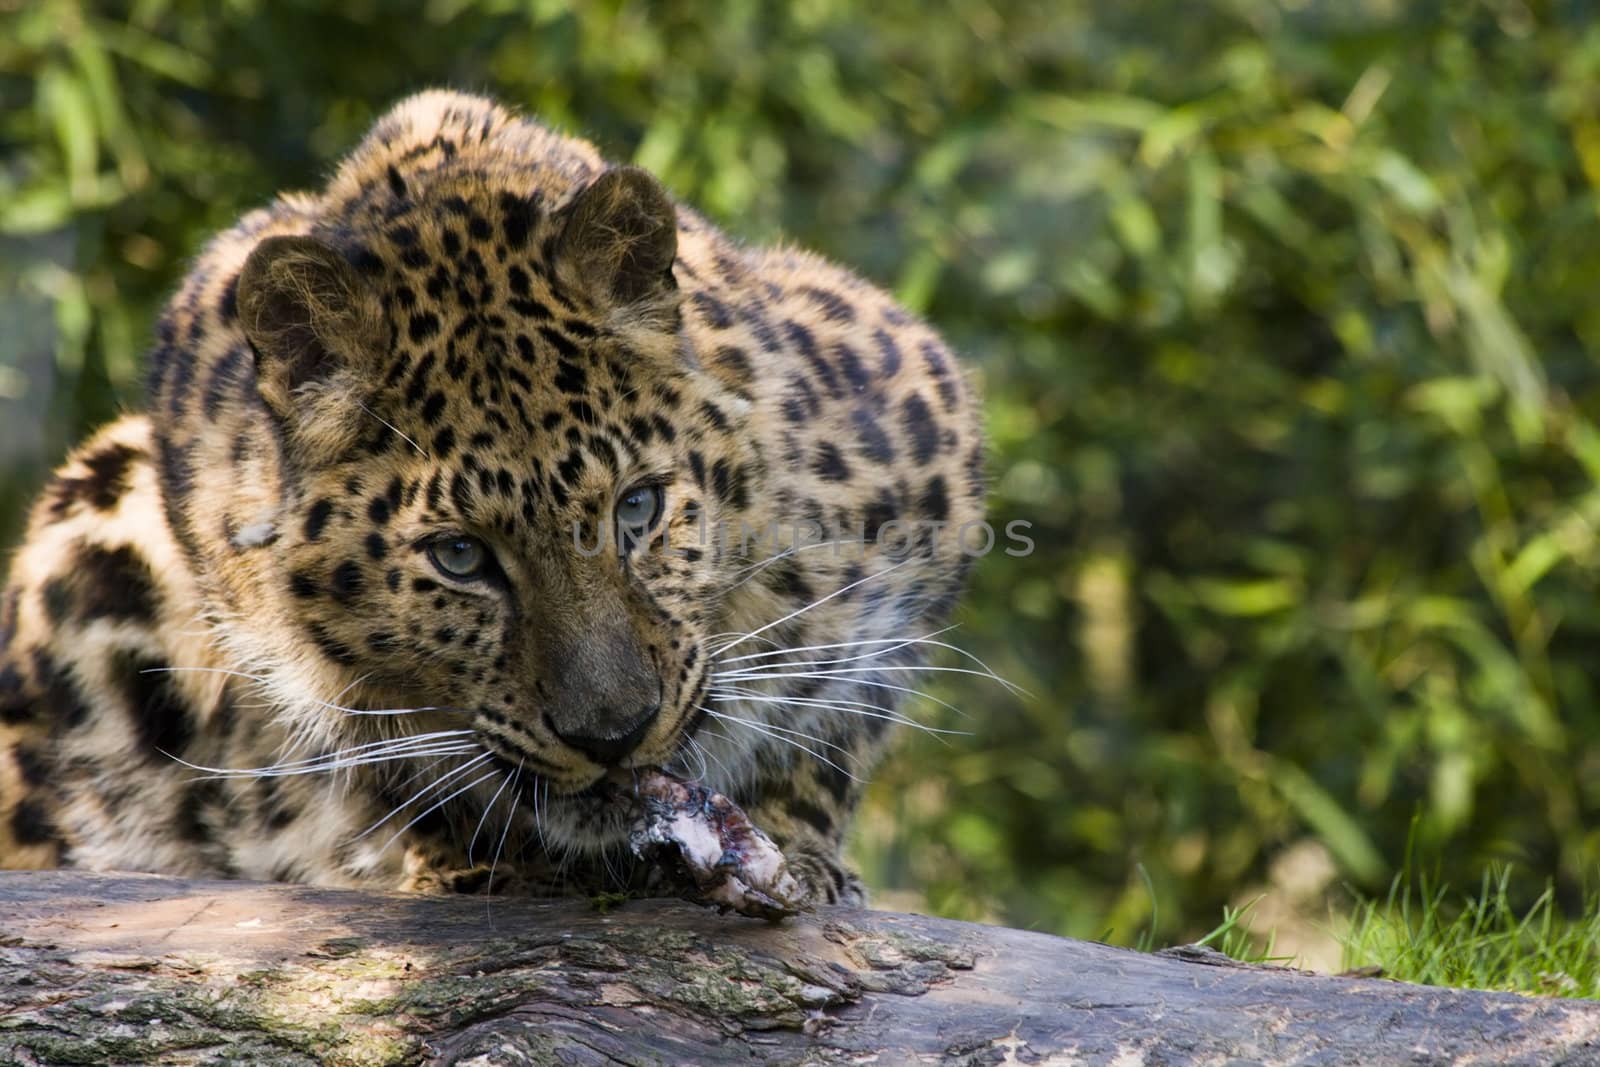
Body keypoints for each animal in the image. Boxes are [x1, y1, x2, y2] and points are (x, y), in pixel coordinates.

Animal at [0, 91, 985, 908]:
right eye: (461, 556)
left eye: (638, 509)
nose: (614, 736)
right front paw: (467, 856)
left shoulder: (922, 433)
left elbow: (841, 718)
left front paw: (798, 848)